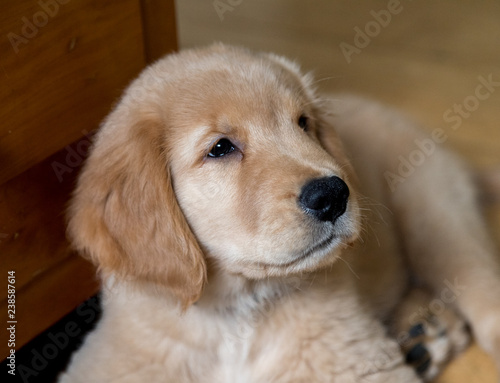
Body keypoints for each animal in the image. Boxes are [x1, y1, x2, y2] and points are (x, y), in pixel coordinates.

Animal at [58, 45, 500, 383]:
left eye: (303, 124)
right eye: (221, 148)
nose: (333, 195)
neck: (236, 318)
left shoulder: (357, 362)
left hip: (434, 215)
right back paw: (424, 332)